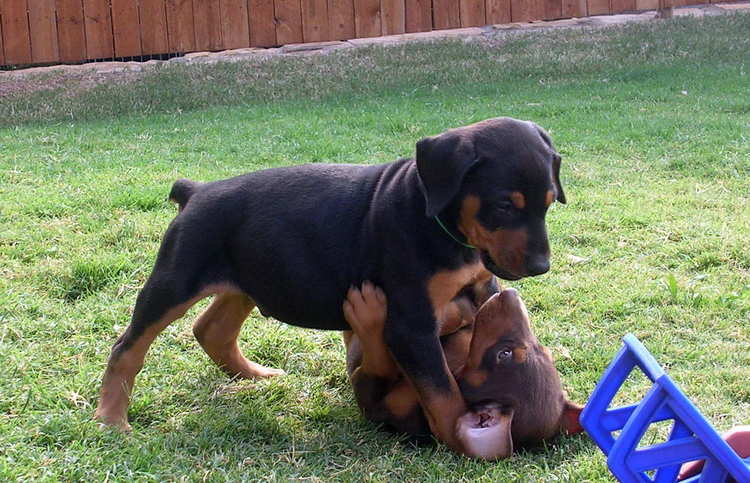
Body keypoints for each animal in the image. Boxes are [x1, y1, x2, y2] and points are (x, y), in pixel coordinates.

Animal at [95, 116, 564, 454]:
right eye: (503, 205)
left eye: (548, 202)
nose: (541, 266)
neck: (439, 223)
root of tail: (197, 191)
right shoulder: (411, 325)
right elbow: (442, 391)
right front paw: (457, 434)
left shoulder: (482, 289)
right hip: (176, 278)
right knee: (128, 347)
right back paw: (111, 420)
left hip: (249, 278)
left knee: (211, 329)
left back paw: (252, 374)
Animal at [344, 284, 584, 462]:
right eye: (546, 351)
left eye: (504, 354)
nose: (510, 293)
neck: (458, 364)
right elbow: (460, 316)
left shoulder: (377, 402)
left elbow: (378, 365)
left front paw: (370, 315)